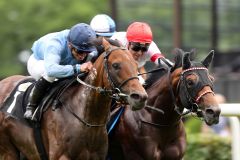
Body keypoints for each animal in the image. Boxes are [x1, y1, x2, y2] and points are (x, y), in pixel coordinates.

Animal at [0, 39, 148, 160]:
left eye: (136, 65)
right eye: (116, 65)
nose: (140, 97)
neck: (88, 119)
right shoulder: (61, 156)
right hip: (7, 151)